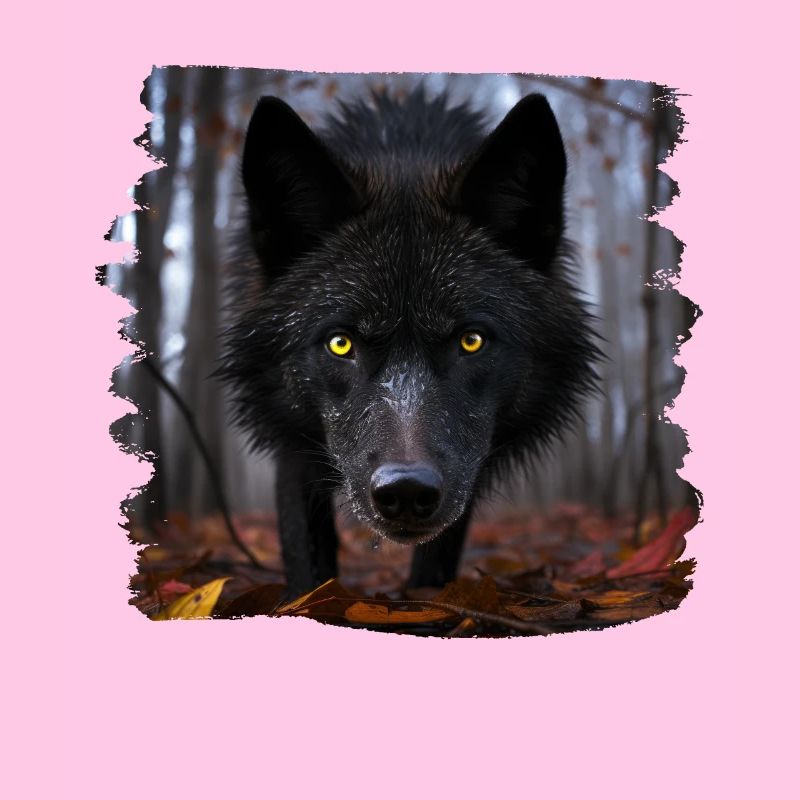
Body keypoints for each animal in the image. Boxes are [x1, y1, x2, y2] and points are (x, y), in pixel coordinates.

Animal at [219, 87, 599, 596]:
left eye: (471, 341)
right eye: (340, 344)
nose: (405, 489)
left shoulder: (467, 464)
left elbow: (438, 554)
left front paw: (427, 602)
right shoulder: (292, 443)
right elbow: (305, 552)